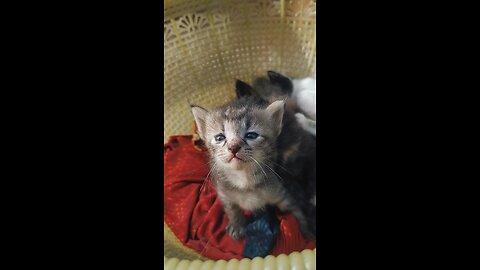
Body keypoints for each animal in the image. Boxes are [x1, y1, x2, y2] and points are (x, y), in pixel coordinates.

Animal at [191, 91, 316, 240]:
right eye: (220, 138)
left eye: (251, 135)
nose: (233, 147)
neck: (244, 178)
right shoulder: (224, 192)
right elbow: (231, 208)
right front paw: (236, 225)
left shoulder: (283, 191)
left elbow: (296, 209)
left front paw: (306, 229)